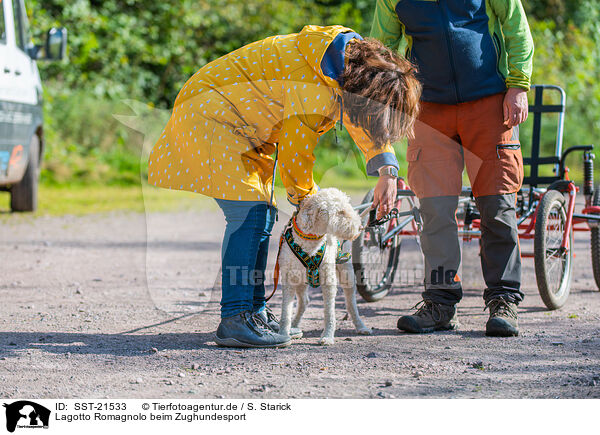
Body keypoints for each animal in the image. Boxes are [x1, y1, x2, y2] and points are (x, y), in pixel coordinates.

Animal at [278, 189, 372, 346]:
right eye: (340, 212)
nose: (360, 228)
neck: (310, 241)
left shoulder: (329, 281)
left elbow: (329, 312)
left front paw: (327, 336)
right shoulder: (288, 280)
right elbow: (286, 311)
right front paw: (283, 334)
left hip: (347, 274)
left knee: (351, 304)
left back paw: (361, 326)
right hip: (300, 281)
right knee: (304, 301)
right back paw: (294, 326)